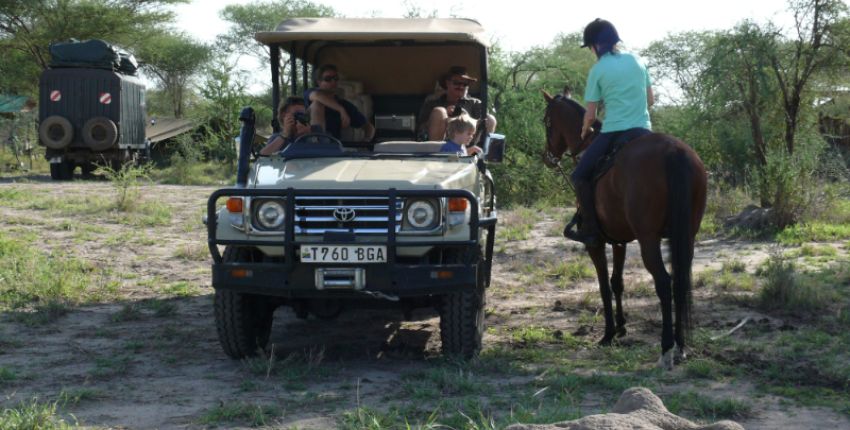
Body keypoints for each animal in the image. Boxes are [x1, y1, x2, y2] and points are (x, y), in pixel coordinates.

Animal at [541, 91, 707, 369]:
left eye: (547, 122)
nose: (547, 157)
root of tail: (674, 151)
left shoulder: (595, 243)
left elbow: (604, 286)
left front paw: (608, 333)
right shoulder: (619, 240)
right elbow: (617, 282)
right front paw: (621, 327)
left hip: (649, 240)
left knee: (664, 283)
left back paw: (666, 348)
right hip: (687, 237)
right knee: (679, 282)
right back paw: (681, 345)